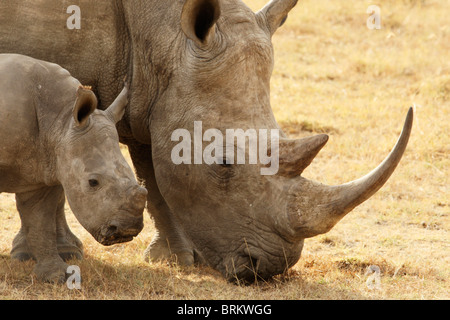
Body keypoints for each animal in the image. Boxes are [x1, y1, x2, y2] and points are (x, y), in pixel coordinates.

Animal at [0, 54, 148, 282]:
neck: (61, 118)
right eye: (93, 182)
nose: (126, 230)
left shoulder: (43, 168)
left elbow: (40, 220)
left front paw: (55, 276)